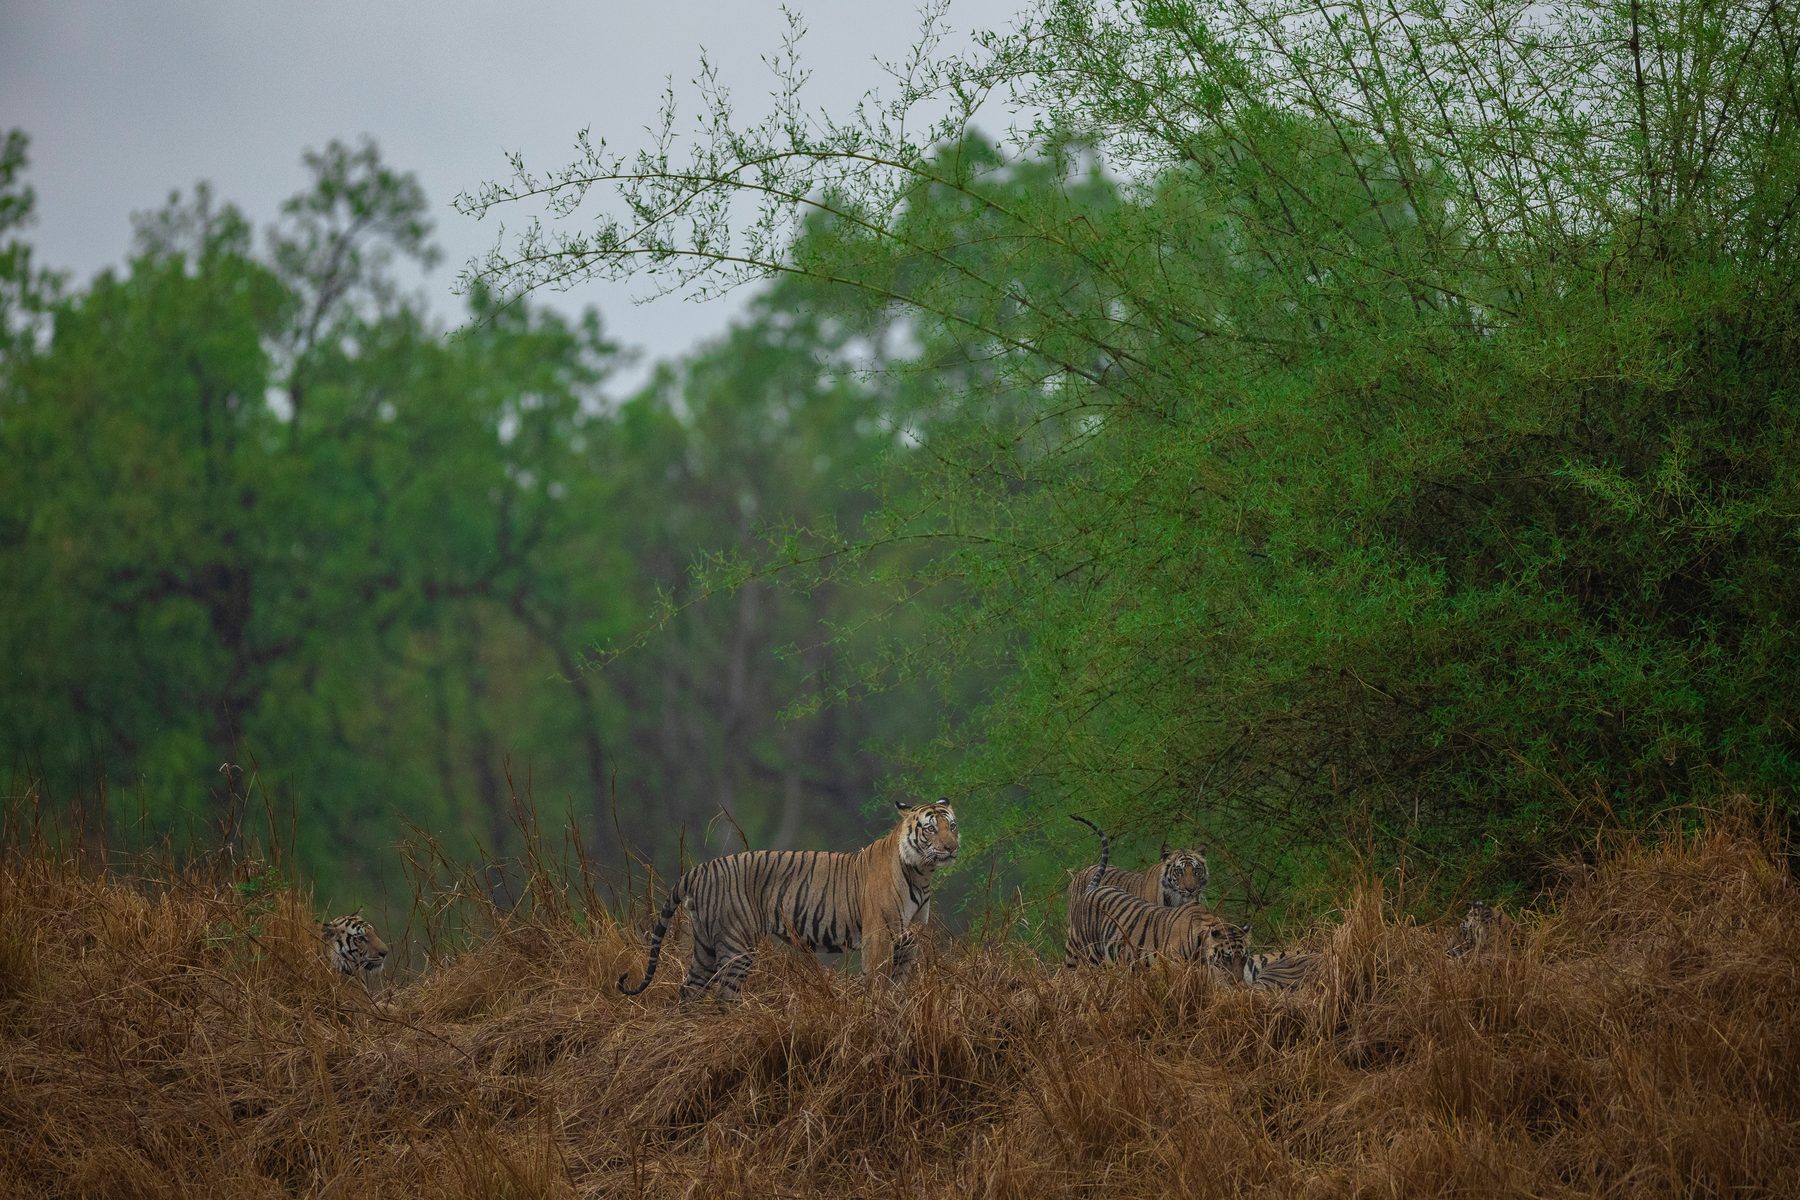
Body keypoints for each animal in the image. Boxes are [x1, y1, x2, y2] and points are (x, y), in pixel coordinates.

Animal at [618, 798, 959, 1003]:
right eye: (930, 828)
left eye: (952, 825)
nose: (952, 847)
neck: (921, 873)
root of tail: (702, 868)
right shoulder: (878, 935)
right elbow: (875, 978)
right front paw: (874, 1007)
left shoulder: (909, 934)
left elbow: (901, 974)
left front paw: (895, 1003)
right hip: (736, 945)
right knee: (723, 997)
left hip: (704, 945)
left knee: (689, 992)